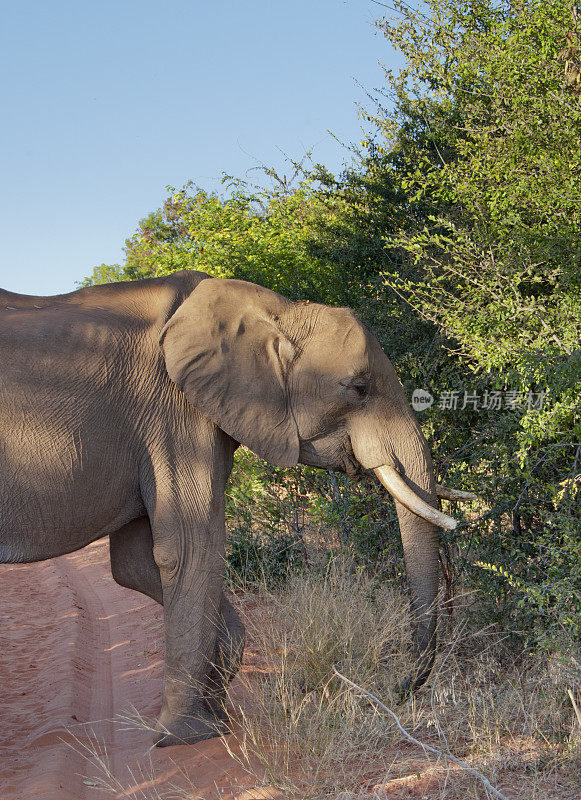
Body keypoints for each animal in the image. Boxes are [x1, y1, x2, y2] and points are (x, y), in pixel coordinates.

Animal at [0, 272, 464, 748]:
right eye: (359, 388)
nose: (396, 688)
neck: (276, 310)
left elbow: (133, 564)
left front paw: (218, 708)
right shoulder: (175, 414)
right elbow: (190, 550)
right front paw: (188, 735)